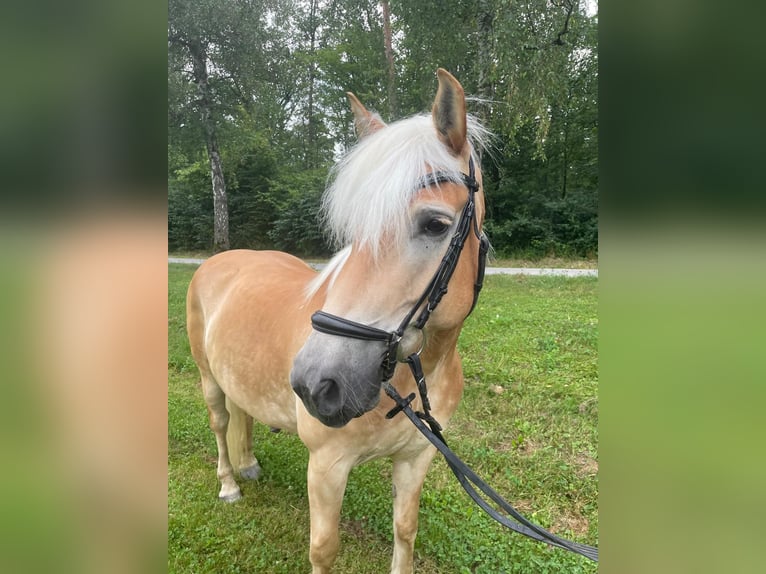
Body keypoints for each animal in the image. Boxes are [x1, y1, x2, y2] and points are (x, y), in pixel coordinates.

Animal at [190, 71, 492, 574]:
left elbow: (405, 532)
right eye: (353, 234)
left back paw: (248, 464)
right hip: (208, 378)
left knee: (243, 413)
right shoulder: (327, 466)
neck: (412, 378)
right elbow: (324, 549)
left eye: (435, 224)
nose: (316, 384)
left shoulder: (416, 458)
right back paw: (230, 483)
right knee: (220, 423)